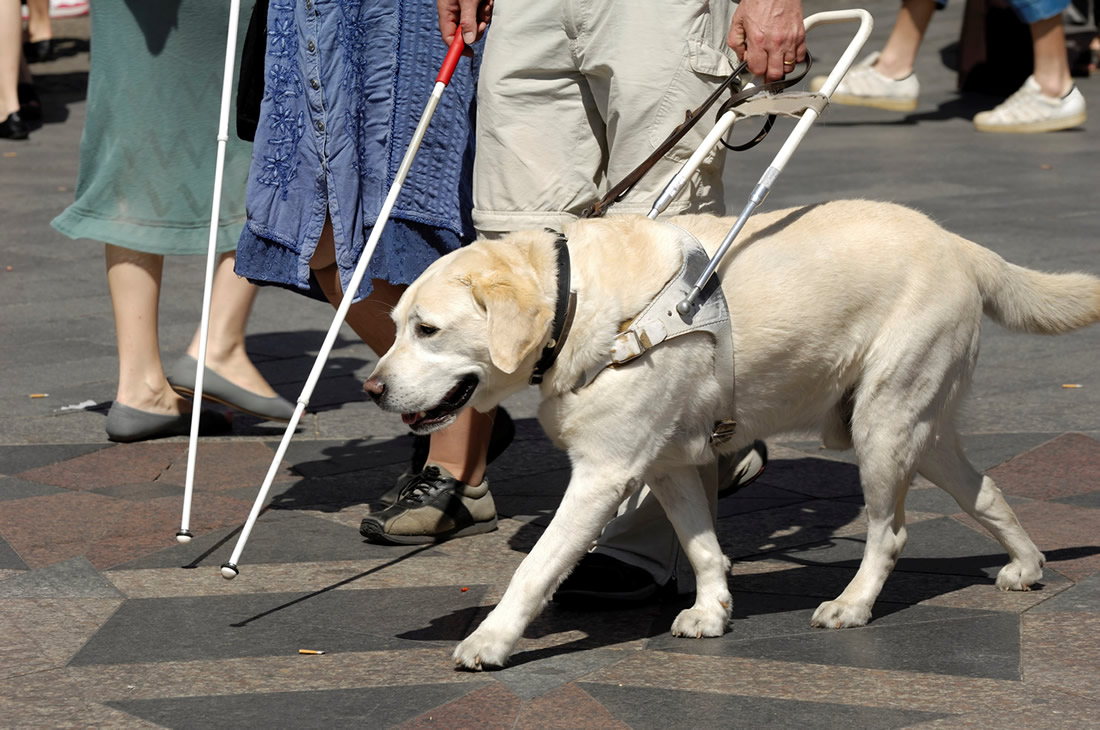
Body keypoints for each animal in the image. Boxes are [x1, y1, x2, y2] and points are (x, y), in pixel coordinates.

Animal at [363, 200, 1100, 668]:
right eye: (395, 325)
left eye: (428, 330)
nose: (371, 388)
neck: (581, 304)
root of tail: (959, 244)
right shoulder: (665, 464)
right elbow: (703, 547)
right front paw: (714, 611)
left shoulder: (604, 473)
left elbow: (535, 567)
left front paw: (491, 642)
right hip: (923, 429)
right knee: (986, 491)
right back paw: (1026, 565)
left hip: (883, 427)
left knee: (890, 533)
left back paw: (853, 604)